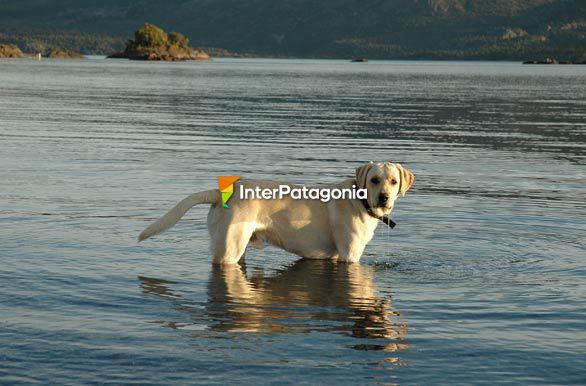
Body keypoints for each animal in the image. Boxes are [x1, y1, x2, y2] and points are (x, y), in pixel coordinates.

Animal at [138, 161, 410, 266]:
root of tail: (221, 191)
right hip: (230, 249)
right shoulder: (350, 256)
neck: (360, 200)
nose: (384, 197)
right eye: (374, 180)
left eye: (393, 181)